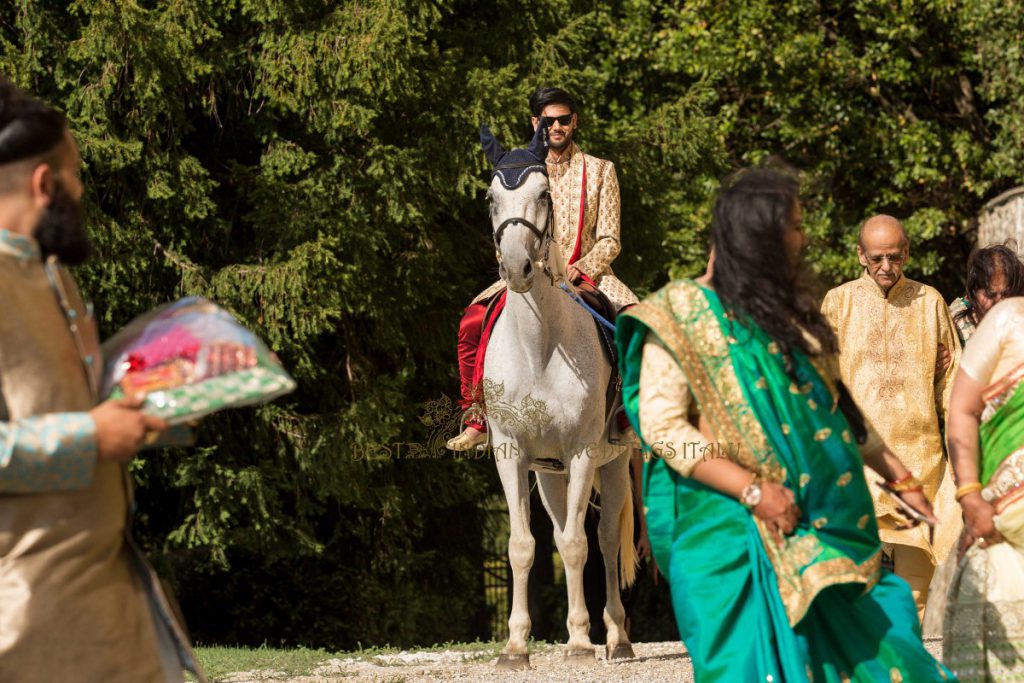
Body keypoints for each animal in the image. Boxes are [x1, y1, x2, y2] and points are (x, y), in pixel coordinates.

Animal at [477, 125, 630, 671]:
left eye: (544, 195)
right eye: (491, 198)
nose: (517, 267)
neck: (540, 347)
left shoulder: (583, 452)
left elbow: (579, 544)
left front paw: (582, 643)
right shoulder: (511, 453)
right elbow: (524, 545)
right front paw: (515, 646)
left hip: (615, 462)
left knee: (605, 541)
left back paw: (617, 638)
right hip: (549, 475)